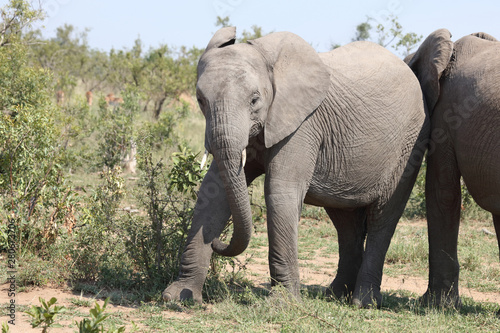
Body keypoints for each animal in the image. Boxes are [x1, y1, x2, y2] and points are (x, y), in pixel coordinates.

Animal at [164, 27, 430, 308]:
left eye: (255, 100)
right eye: (200, 100)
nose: (216, 240)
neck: (264, 54)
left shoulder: (303, 123)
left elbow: (280, 191)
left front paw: (281, 304)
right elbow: (212, 193)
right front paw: (179, 297)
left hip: (410, 143)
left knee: (383, 217)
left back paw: (364, 302)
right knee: (346, 222)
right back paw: (335, 295)